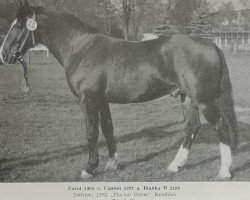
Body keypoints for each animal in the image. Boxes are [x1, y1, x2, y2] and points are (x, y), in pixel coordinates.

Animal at [0, 0, 238, 180]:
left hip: (204, 99)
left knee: (220, 125)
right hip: (187, 98)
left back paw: (224, 171)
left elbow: (92, 132)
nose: (4, 55)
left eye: (19, 26)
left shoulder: (88, 100)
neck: (81, 49)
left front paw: (89, 169)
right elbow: (107, 129)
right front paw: (112, 164)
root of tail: (212, 45)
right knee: (192, 128)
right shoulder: (101, 100)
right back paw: (174, 166)